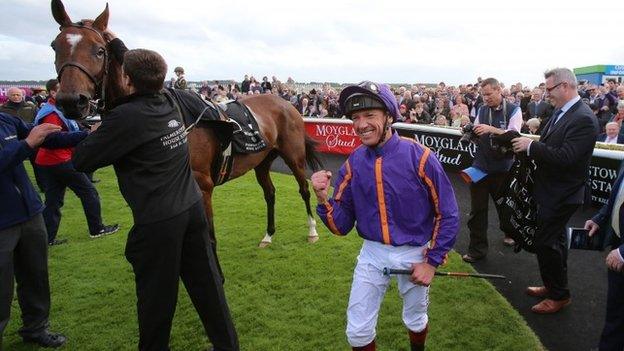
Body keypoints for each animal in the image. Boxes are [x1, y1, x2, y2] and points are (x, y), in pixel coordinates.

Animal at [48, 0, 322, 248]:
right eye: (55, 46)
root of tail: (285, 103)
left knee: (304, 189)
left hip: (293, 155)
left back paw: (312, 231)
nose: (71, 101)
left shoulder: (202, 185)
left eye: (99, 50)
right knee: (270, 193)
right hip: (262, 160)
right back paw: (268, 235)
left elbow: (208, 237)